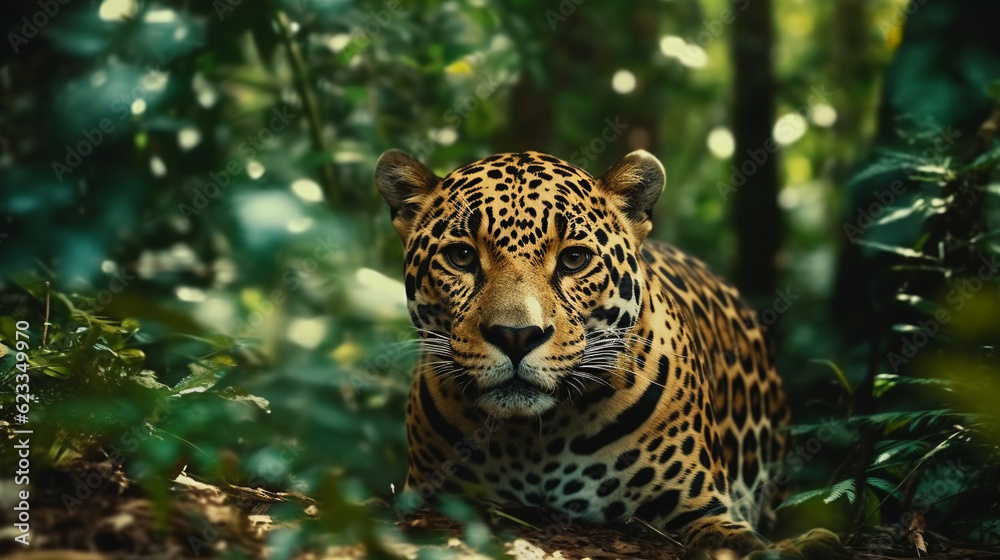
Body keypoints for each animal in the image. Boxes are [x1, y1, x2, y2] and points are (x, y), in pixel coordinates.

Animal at [375, 149, 842, 557]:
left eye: (574, 259)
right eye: (461, 256)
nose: (516, 336)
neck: (531, 439)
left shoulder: (701, 505)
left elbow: (737, 539)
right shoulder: (431, 494)